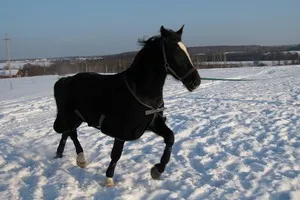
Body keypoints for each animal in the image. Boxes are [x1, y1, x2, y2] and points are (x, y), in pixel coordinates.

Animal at [53, 25, 202, 186]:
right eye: (175, 51)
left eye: (186, 49)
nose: (196, 81)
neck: (140, 92)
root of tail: (65, 80)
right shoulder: (121, 131)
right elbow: (116, 154)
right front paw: (109, 179)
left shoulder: (153, 124)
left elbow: (170, 138)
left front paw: (157, 170)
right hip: (70, 116)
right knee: (71, 133)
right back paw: (81, 159)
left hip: (77, 118)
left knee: (67, 133)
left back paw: (60, 154)